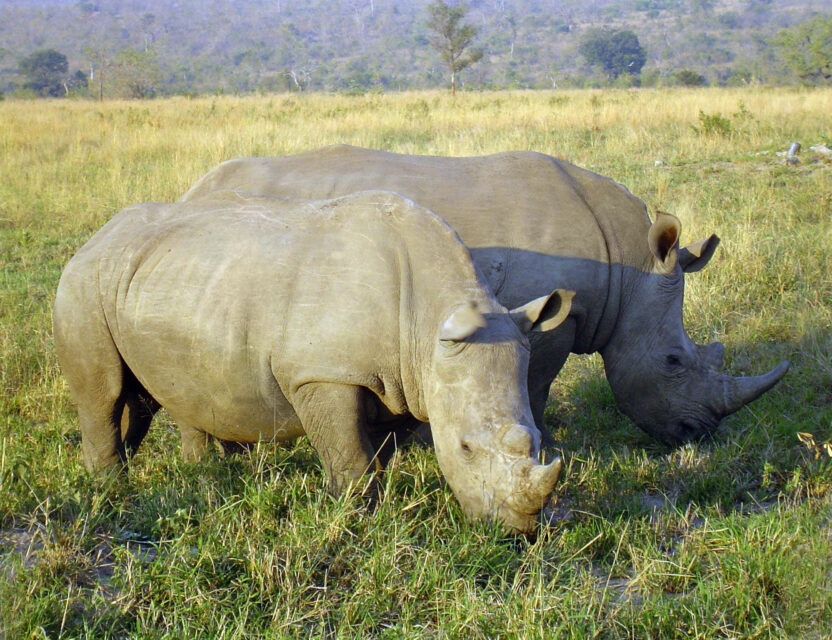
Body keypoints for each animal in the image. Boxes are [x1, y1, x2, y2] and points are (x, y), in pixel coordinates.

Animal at [53, 190, 573, 533]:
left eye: (538, 441)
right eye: (464, 448)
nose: (515, 532)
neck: (427, 321)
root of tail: (97, 235)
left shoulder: (404, 382)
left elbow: (378, 450)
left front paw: (371, 505)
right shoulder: (324, 374)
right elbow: (349, 453)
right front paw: (357, 517)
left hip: (159, 282)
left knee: (152, 393)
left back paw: (201, 474)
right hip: (83, 283)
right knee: (104, 394)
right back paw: (112, 491)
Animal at [180, 145, 790, 445]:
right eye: (673, 362)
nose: (697, 436)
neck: (631, 268)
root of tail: (193, 190)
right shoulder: (552, 315)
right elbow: (537, 387)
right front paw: (546, 442)